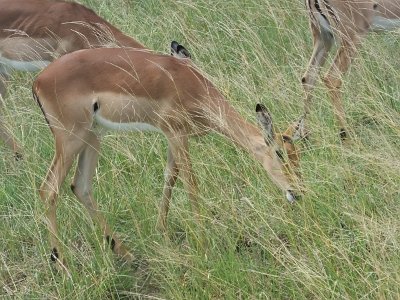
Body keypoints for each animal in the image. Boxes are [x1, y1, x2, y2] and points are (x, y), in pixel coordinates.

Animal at [32, 47, 304, 268]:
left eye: (297, 155)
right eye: (279, 153)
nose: (297, 192)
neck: (192, 85)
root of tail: (38, 80)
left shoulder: (174, 138)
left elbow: (170, 176)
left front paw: (161, 232)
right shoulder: (177, 134)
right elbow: (191, 184)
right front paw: (204, 246)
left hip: (92, 137)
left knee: (80, 186)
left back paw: (126, 254)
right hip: (71, 140)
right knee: (48, 189)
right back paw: (62, 263)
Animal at [302, 0, 398, 141]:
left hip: (323, 36)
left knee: (308, 77)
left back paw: (305, 138)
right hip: (352, 36)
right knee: (332, 77)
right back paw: (348, 138)